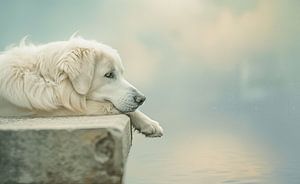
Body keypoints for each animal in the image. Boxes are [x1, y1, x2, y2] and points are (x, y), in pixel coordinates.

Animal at [0, 35, 164, 137]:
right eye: (109, 74)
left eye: (121, 73)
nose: (142, 99)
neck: (48, 80)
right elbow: (107, 106)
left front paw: (149, 124)